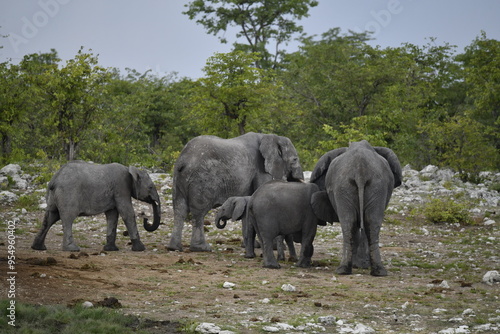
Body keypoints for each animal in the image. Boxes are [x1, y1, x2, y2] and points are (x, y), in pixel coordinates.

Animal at [31, 161, 160, 250]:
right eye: (150, 187)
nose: (146, 219)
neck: (129, 169)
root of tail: (54, 179)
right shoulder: (121, 188)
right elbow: (127, 213)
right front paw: (140, 249)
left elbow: (112, 215)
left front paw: (110, 249)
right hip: (68, 194)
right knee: (67, 218)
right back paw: (72, 249)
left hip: (54, 196)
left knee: (51, 217)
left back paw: (38, 247)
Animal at [168, 132, 302, 252]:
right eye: (295, 160)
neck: (271, 136)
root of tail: (183, 160)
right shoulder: (261, 170)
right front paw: (274, 247)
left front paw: (252, 246)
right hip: (201, 179)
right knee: (198, 212)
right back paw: (201, 248)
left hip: (178, 177)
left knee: (179, 209)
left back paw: (174, 247)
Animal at [312, 140, 402, 276]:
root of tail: (360, 169)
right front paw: (361, 265)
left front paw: (361, 265)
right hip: (369, 187)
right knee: (366, 223)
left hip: (354, 187)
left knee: (354, 223)